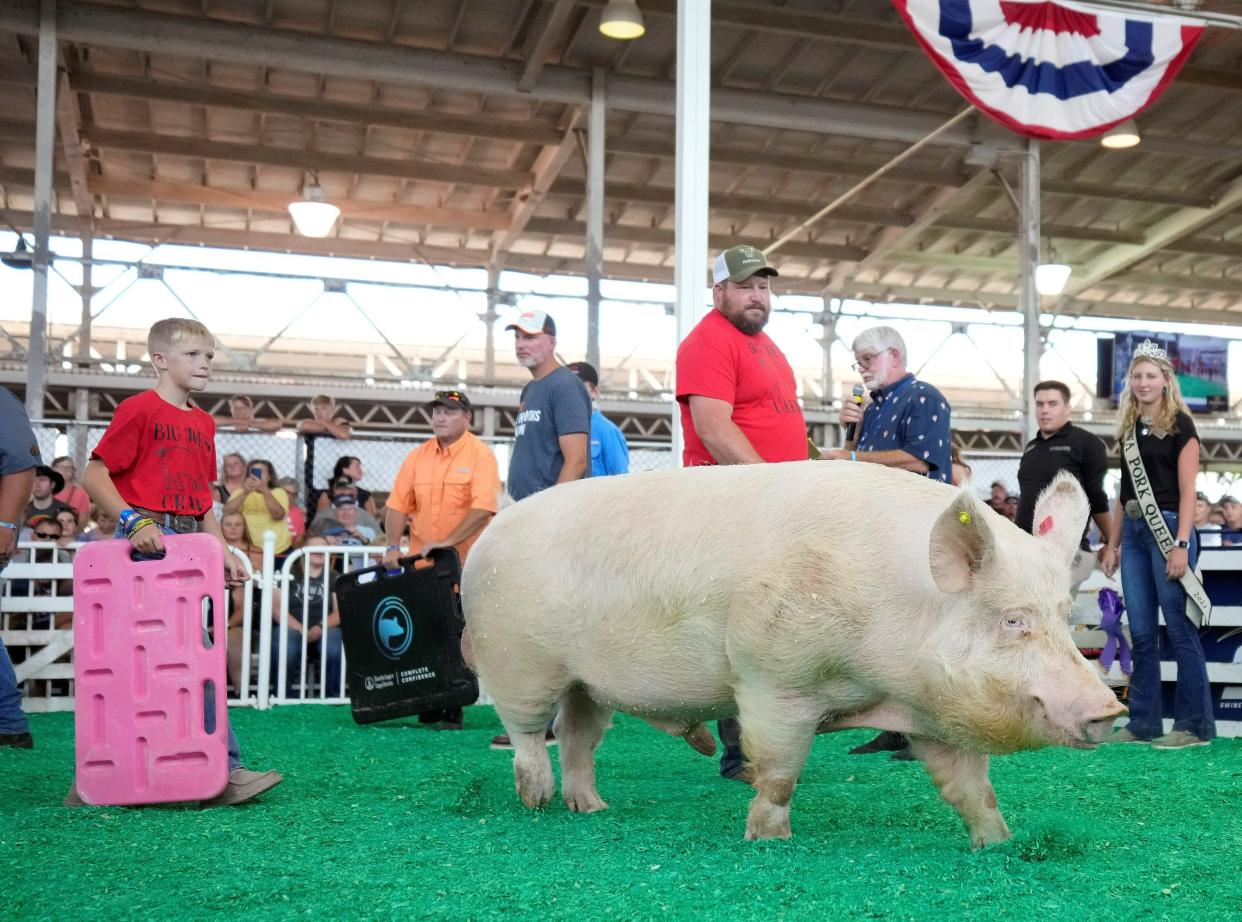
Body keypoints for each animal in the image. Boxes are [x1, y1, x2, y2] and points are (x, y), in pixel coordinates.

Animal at [466, 464, 1127, 849]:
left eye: (1063, 616)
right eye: (1013, 620)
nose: (1109, 709)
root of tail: (495, 528)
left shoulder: (934, 711)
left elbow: (971, 789)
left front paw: (999, 843)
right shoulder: (771, 679)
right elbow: (780, 770)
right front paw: (767, 840)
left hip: (586, 682)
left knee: (580, 735)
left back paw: (592, 808)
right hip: (517, 658)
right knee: (528, 732)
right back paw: (537, 802)